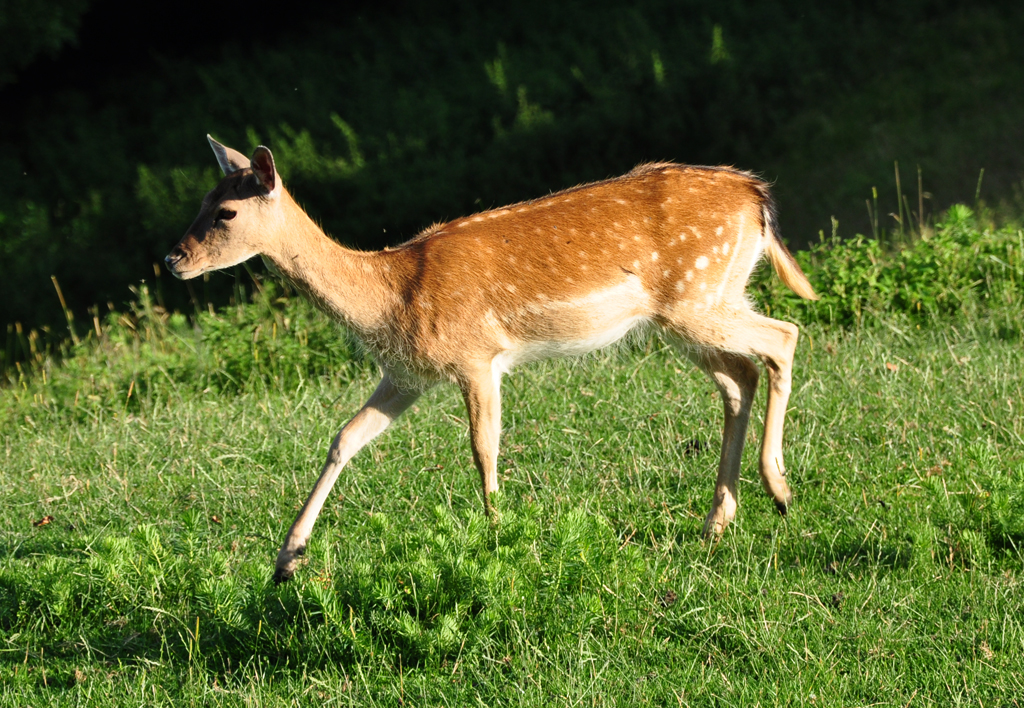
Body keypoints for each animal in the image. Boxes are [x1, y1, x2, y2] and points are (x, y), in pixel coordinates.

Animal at [165, 135, 823, 586]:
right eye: (200, 199)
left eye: (225, 212)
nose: (173, 259)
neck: (391, 297)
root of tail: (756, 195)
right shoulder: (407, 374)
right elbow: (345, 437)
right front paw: (286, 560)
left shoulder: (476, 356)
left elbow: (484, 446)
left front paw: (498, 538)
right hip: (691, 310)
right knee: (739, 376)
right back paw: (718, 522)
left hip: (697, 297)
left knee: (783, 336)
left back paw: (779, 488)